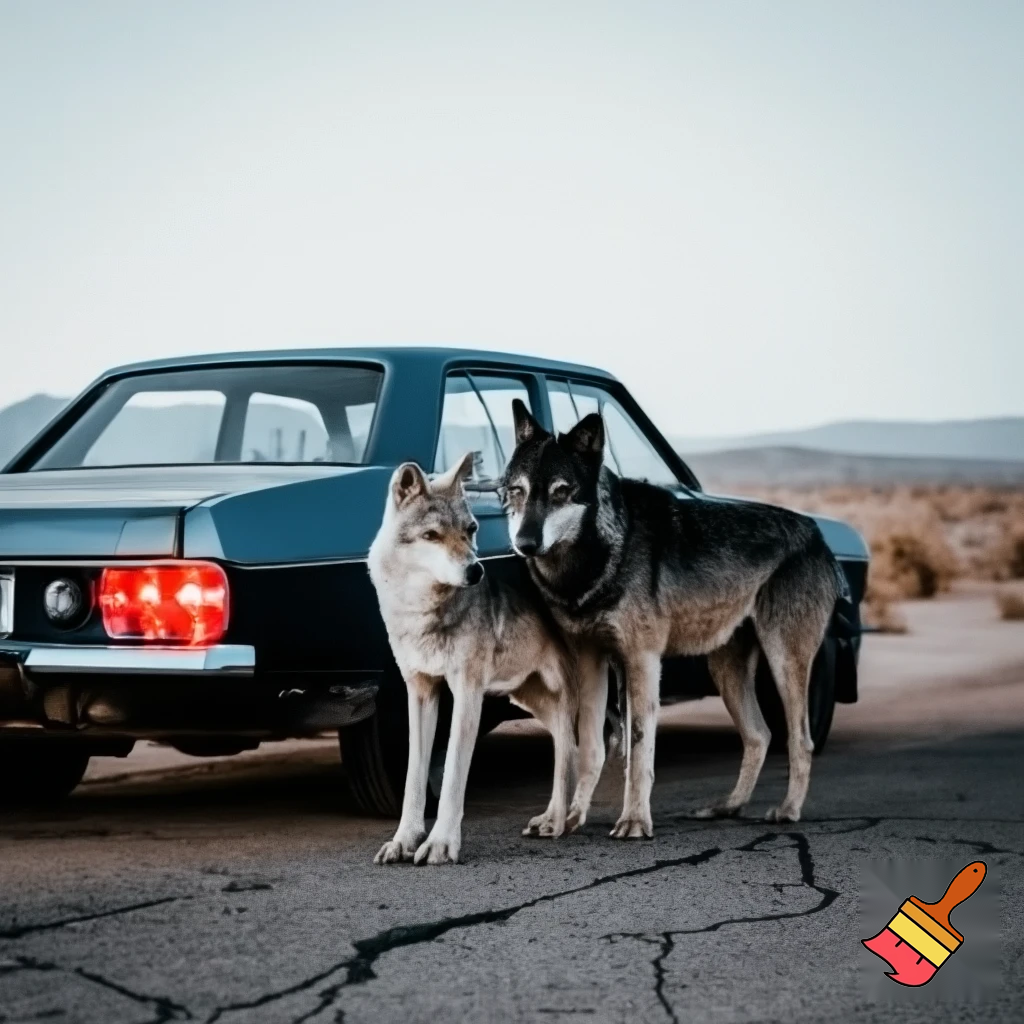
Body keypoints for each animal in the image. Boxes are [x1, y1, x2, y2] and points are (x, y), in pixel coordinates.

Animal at [368, 453, 579, 865]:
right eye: (432, 535)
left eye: (471, 529)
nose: (475, 570)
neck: (420, 612)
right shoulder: (420, 692)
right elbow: (413, 776)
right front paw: (404, 840)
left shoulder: (467, 693)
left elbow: (452, 773)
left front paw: (440, 843)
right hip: (534, 700)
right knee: (574, 750)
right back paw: (562, 817)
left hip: (574, 694)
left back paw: (573, 820)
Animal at [503, 400, 845, 837]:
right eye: (517, 491)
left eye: (560, 492)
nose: (525, 543)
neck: (598, 560)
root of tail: (817, 532)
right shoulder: (590, 660)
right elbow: (589, 748)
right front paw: (568, 817)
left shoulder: (642, 661)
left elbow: (639, 750)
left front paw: (633, 820)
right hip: (726, 671)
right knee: (759, 735)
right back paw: (727, 807)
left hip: (784, 664)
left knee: (800, 741)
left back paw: (787, 810)